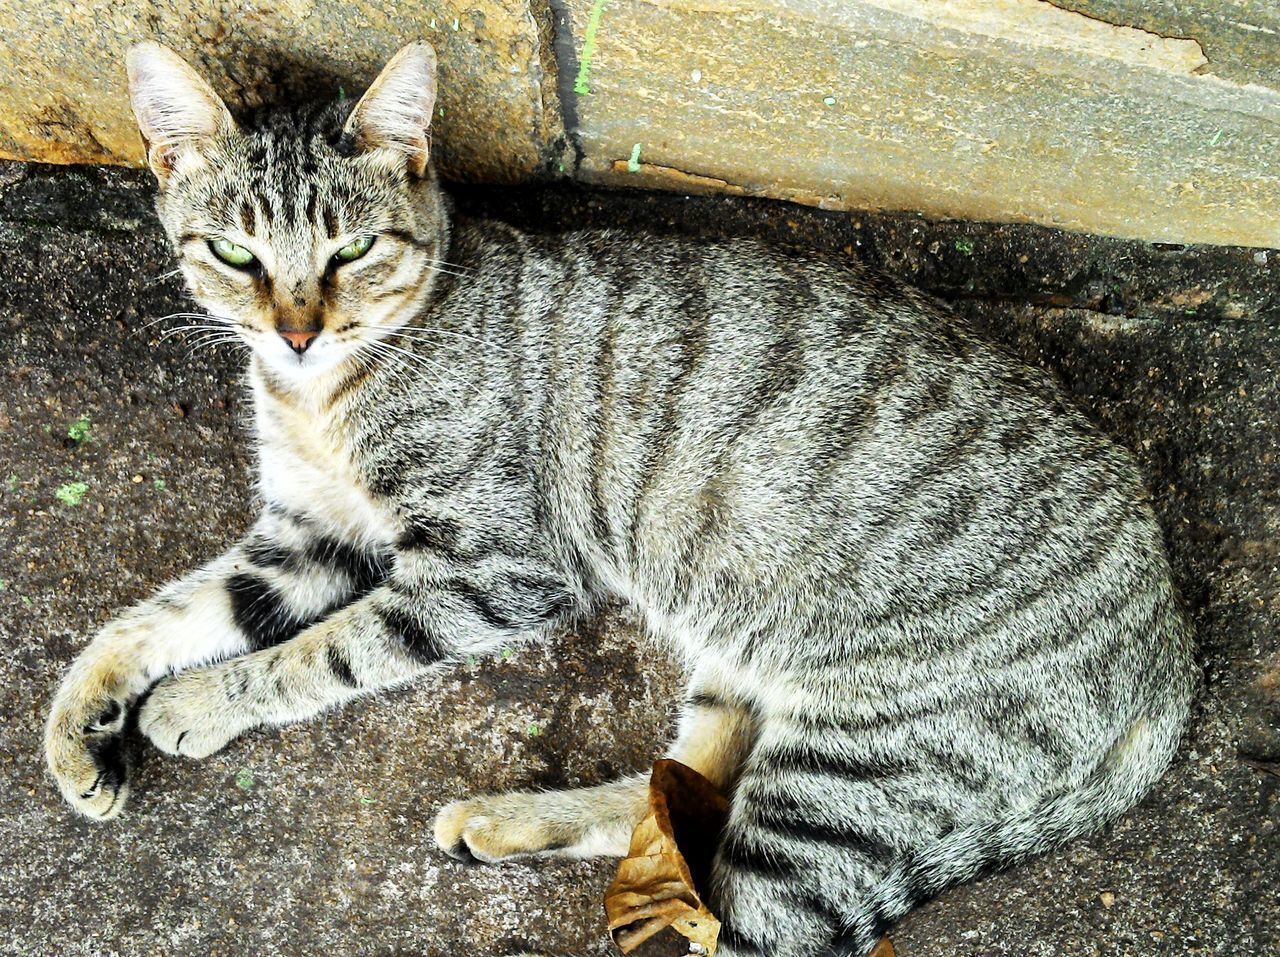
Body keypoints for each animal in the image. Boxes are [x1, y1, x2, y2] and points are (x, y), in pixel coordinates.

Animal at [42, 39, 1198, 957]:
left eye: (353, 250)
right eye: (235, 252)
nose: (294, 331)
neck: (318, 395)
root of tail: (1169, 656)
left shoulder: (492, 568)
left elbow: (317, 656)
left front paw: (194, 705)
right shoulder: (304, 535)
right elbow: (154, 619)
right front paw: (77, 728)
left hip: (851, 773)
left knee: (746, 914)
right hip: (754, 684)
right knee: (677, 804)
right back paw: (512, 821)